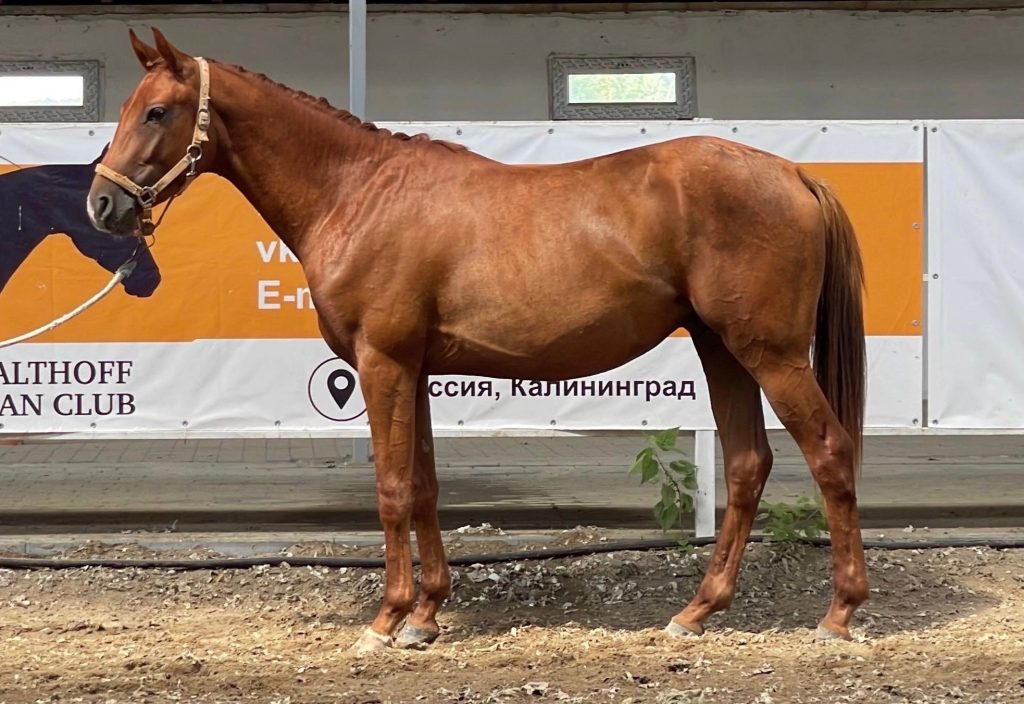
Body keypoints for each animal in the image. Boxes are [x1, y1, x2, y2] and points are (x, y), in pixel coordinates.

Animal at [88, 28, 868, 654]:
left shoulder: (383, 364)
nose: (103, 203)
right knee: (746, 465)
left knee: (829, 451)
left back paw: (838, 614)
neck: (359, 193)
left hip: (769, 353)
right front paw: (426, 615)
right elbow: (426, 486)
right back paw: (697, 611)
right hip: (722, 347)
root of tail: (793, 173)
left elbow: (393, 489)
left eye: (157, 110)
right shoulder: (414, 370)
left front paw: (386, 620)